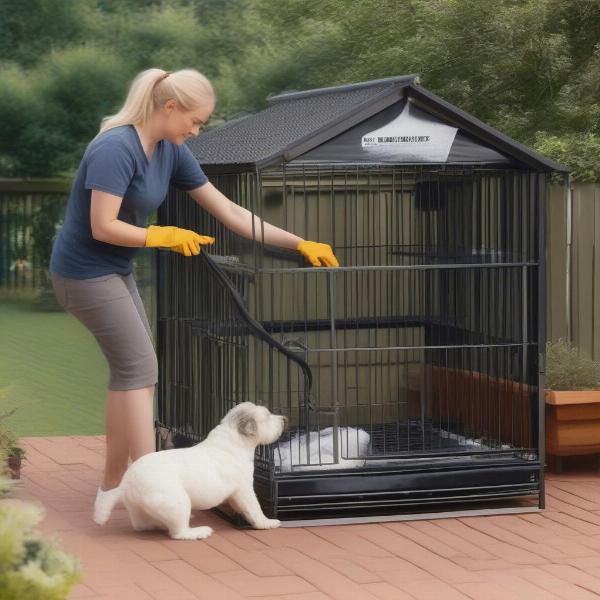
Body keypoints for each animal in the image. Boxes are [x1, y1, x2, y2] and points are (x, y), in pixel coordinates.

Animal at [93, 404, 286, 540]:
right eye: (267, 416)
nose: (284, 418)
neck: (233, 439)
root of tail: (127, 484)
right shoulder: (244, 489)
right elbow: (254, 508)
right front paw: (266, 523)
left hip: (139, 508)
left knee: (143, 525)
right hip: (177, 501)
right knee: (178, 533)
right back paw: (198, 532)